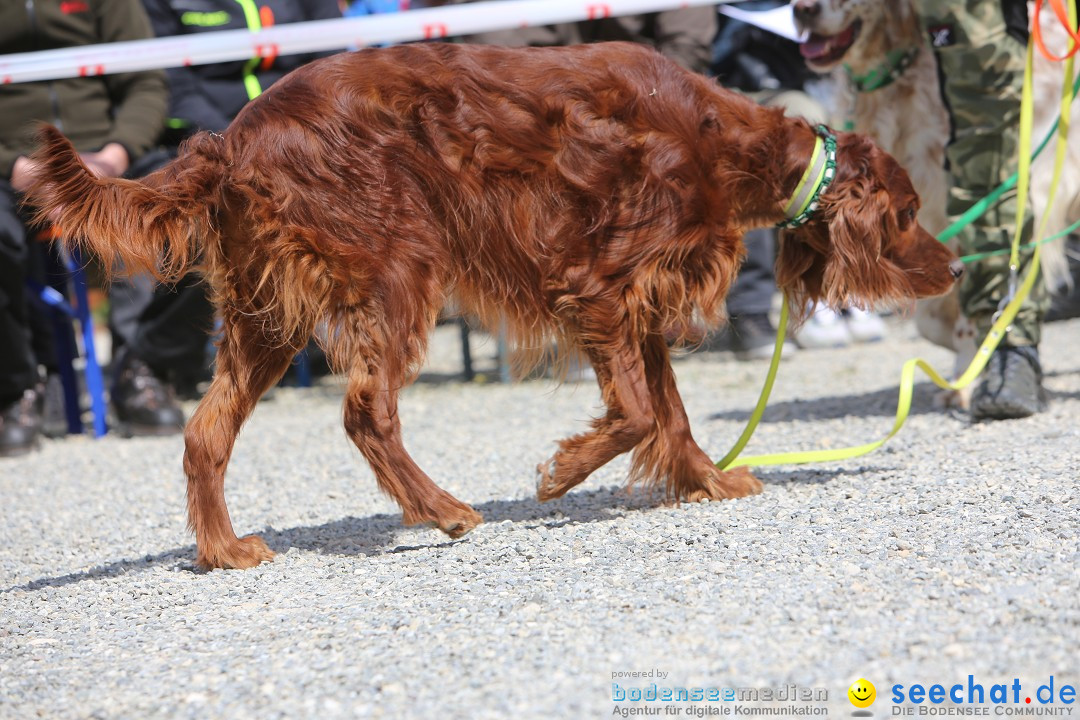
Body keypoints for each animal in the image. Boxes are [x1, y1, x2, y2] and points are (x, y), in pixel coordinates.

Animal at [25, 42, 959, 569]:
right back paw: (441, 512)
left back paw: (224, 552)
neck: (722, 140)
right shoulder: (597, 284)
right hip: (399, 269)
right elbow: (633, 414)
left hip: (269, 316)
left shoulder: (638, 304)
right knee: (365, 411)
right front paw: (561, 473)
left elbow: (667, 412)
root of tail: (232, 137)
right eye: (910, 213)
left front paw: (706, 480)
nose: (953, 267)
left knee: (205, 432)